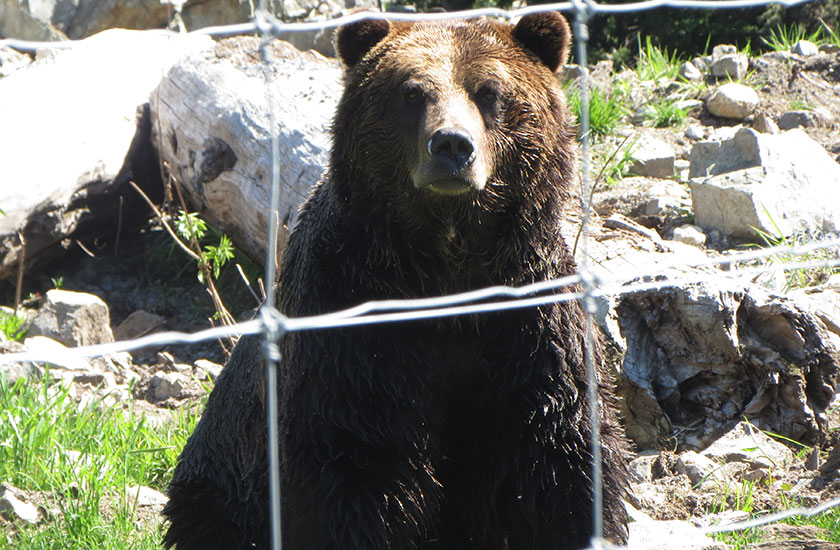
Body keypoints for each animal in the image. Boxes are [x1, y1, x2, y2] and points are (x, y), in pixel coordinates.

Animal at [162, 10, 632, 548]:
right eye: (412, 92)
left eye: (489, 91)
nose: (451, 145)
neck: (448, 270)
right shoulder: (355, 322)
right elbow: (356, 463)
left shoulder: (528, 315)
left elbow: (560, 451)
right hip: (220, 483)